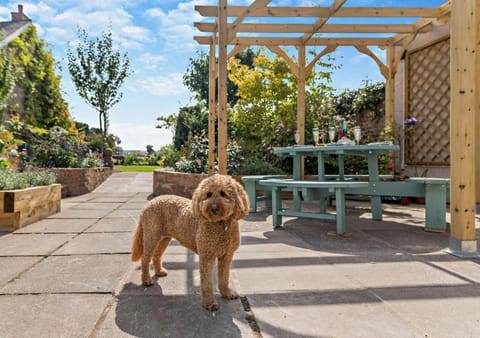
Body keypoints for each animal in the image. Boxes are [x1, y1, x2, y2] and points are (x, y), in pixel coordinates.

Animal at [132, 174, 251, 312]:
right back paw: (146, 279)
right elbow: (206, 283)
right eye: (208, 194)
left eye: (223, 193)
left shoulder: (226, 256)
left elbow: (224, 277)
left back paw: (159, 271)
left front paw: (226, 292)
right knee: (145, 259)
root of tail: (148, 204)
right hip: (151, 236)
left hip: (164, 238)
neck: (221, 224)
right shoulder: (206, 257)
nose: (214, 208)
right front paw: (209, 303)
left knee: (157, 255)